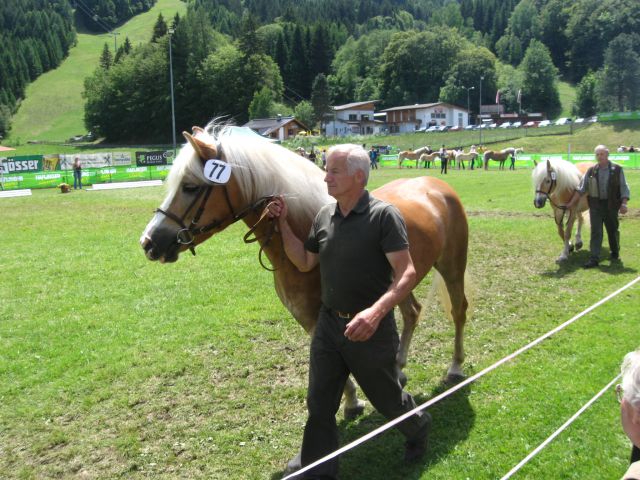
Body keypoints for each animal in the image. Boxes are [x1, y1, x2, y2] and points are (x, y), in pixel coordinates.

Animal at [140, 124, 470, 420]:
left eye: (190, 187)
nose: (149, 242)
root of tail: (435, 185)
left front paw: (354, 401)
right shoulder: (309, 318)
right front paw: (352, 401)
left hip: (452, 267)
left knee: (459, 310)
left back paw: (454, 367)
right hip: (402, 282)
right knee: (412, 312)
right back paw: (399, 370)